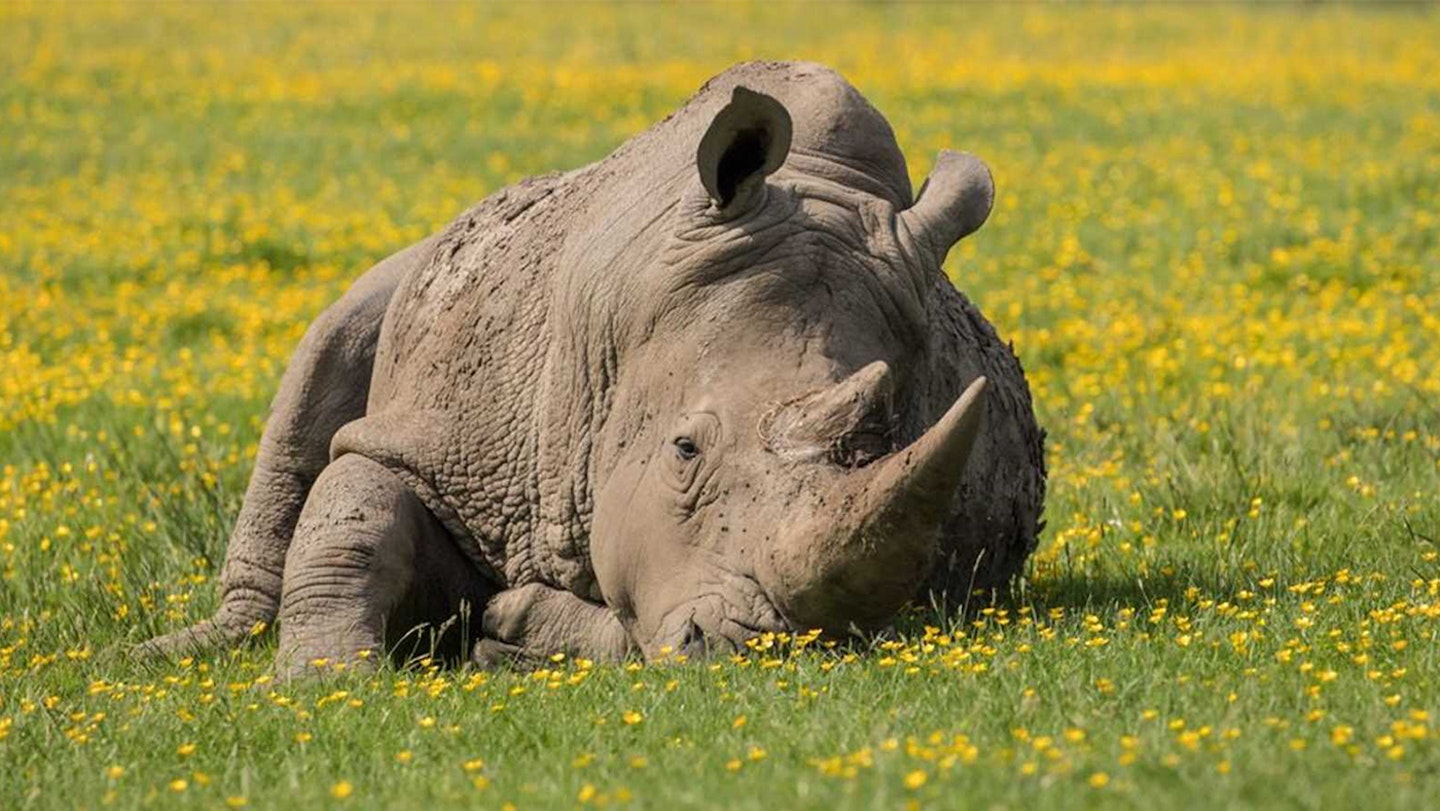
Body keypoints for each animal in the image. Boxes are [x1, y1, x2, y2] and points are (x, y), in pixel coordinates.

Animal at [140, 60, 1048, 677]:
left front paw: (512, 631)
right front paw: (324, 682)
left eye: (885, 438)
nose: (764, 648)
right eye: (685, 450)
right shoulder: (439, 439)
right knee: (328, 347)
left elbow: (625, 615)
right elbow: (354, 513)